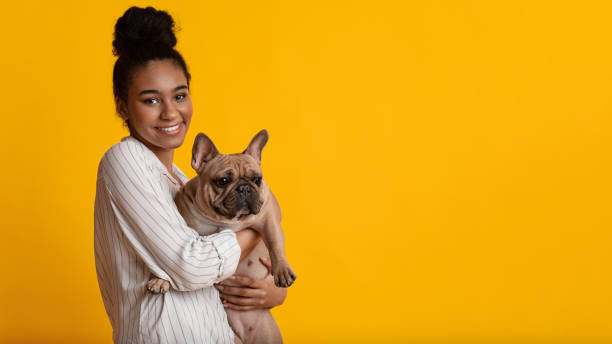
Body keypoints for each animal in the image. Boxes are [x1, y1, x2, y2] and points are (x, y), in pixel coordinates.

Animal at [145, 130, 296, 344]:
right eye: (223, 181)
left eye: (257, 179)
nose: (244, 188)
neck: (225, 219)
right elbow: (168, 260)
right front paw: (159, 279)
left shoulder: (269, 217)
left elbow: (275, 243)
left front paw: (282, 270)